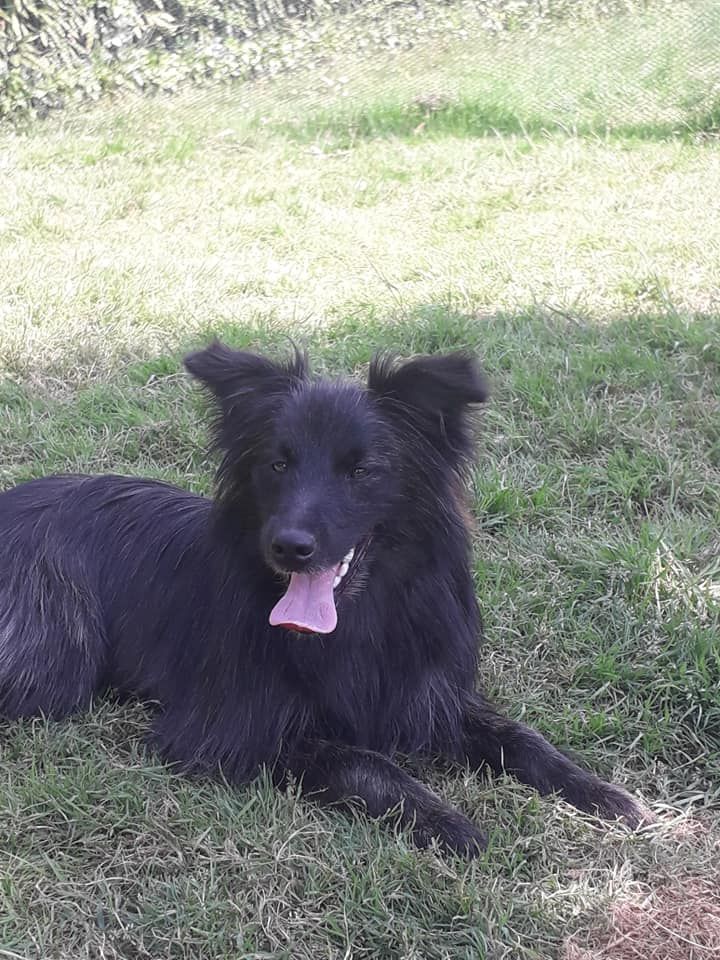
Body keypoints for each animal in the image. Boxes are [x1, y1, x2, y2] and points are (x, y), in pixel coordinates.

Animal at [0, 346, 648, 856]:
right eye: (277, 463)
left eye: (362, 471)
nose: (290, 546)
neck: (357, 622)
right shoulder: (230, 732)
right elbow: (364, 763)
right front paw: (449, 821)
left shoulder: (429, 697)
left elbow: (522, 739)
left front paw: (602, 794)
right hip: (52, 661)